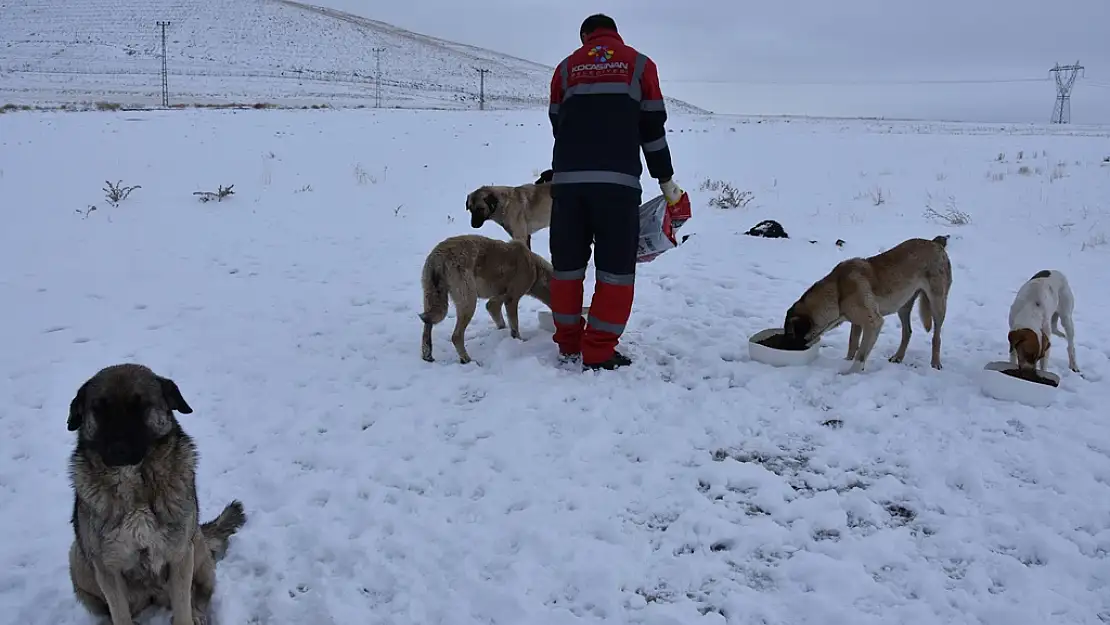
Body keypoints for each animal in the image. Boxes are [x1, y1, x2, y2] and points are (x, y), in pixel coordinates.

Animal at [68, 364, 246, 621]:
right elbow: (120, 615)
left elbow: (183, 610)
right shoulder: (108, 569)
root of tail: (152, 596)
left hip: (196, 547)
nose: (117, 449)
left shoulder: (179, 557)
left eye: (140, 407)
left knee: (200, 595)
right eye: (100, 410)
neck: (135, 486)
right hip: (78, 559)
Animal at [417, 235, 552, 364]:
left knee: (427, 326)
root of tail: (438, 256)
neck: (535, 269)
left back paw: (427, 356)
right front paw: (519, 341)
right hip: (469, 302)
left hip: (431, 298)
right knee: (456, 336)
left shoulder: (497, 299)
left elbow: (499, 319)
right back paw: (466, 359)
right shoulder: (511, 300)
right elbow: (514, 326)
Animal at [781, 233, 954, 370]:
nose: (786, 348)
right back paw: (898, 357)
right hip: (903, 306)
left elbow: (861, 354)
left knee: (936, 337)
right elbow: (852, 344)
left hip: (937, 304)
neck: (838, 292)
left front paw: (850, 373)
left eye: (790, 335)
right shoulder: (857, 321)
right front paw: (846, 360)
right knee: (907, 332)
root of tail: (936, 243)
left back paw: (935, 363)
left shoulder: (873, 323)